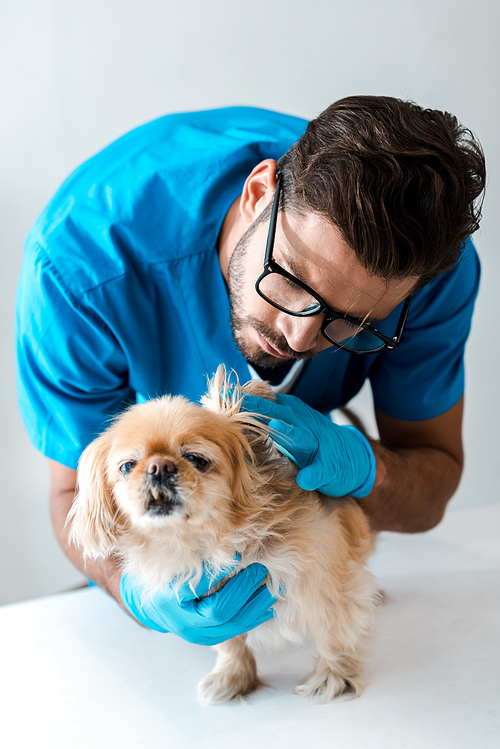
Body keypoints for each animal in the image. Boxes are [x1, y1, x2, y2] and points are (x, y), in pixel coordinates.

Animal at [68, 366, 376, 704]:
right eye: (127, 466)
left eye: (196, 459)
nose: (159, 466)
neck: (208, 542)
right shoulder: (213, 610)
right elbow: (229, 642)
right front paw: (234, 676)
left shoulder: (326, 586)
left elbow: (334, 631)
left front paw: (334, 677)